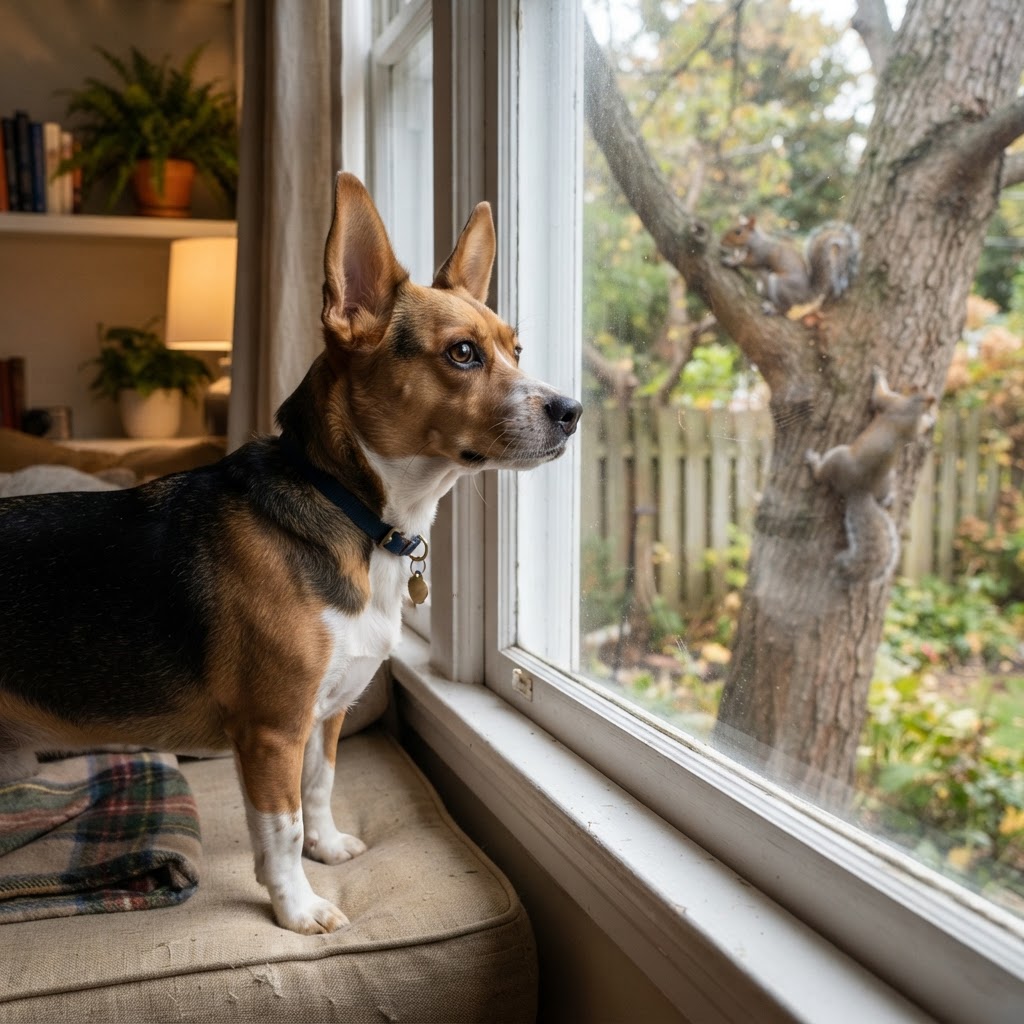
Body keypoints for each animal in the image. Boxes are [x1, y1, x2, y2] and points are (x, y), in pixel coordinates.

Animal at [720, 216, 860, 315]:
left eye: (738, 232)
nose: (721, 241)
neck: (754, 241)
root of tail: (806, 295)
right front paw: (732, 257)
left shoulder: (760, 254)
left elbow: (748, 262)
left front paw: (731, 261)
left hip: (780, 284)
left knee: (786, 308)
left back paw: (773, 309)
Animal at [805, 367, 936, 582]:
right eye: (921, 386)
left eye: (912, 385)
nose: (906, 383)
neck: (914, 406)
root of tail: (859, 489)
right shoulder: (911, 425)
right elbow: (917, 432)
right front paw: (930, 421)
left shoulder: (891, 403)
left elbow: (878, 396)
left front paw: (878, 374)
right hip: (888, 477)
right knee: (883, 496)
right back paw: (888, 499)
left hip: (838, 456)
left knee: (820, 476)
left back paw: (813, 462)